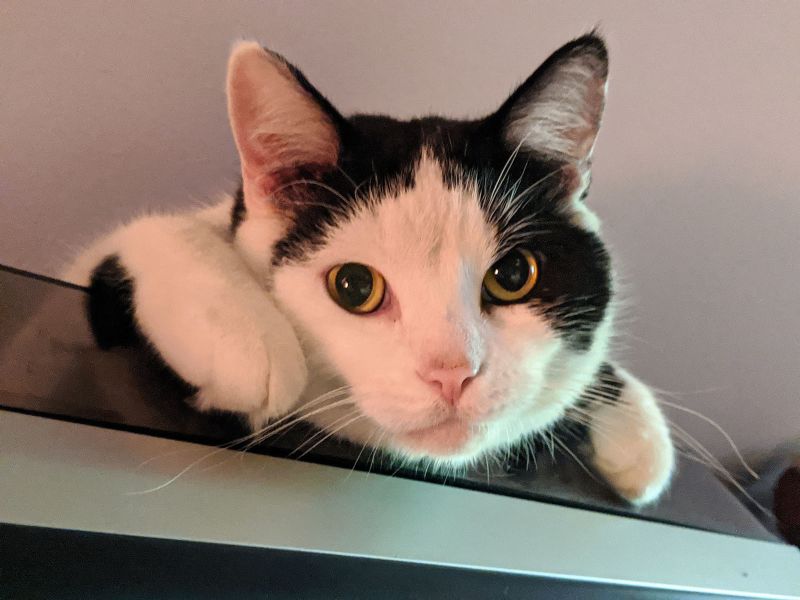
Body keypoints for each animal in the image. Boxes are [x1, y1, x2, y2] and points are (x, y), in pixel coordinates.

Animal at [64, 31, 676, 502]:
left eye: (512, 276)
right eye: (354, 285)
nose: (452, 374)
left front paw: (639, 438)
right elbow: (158, 233)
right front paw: (243, 336)